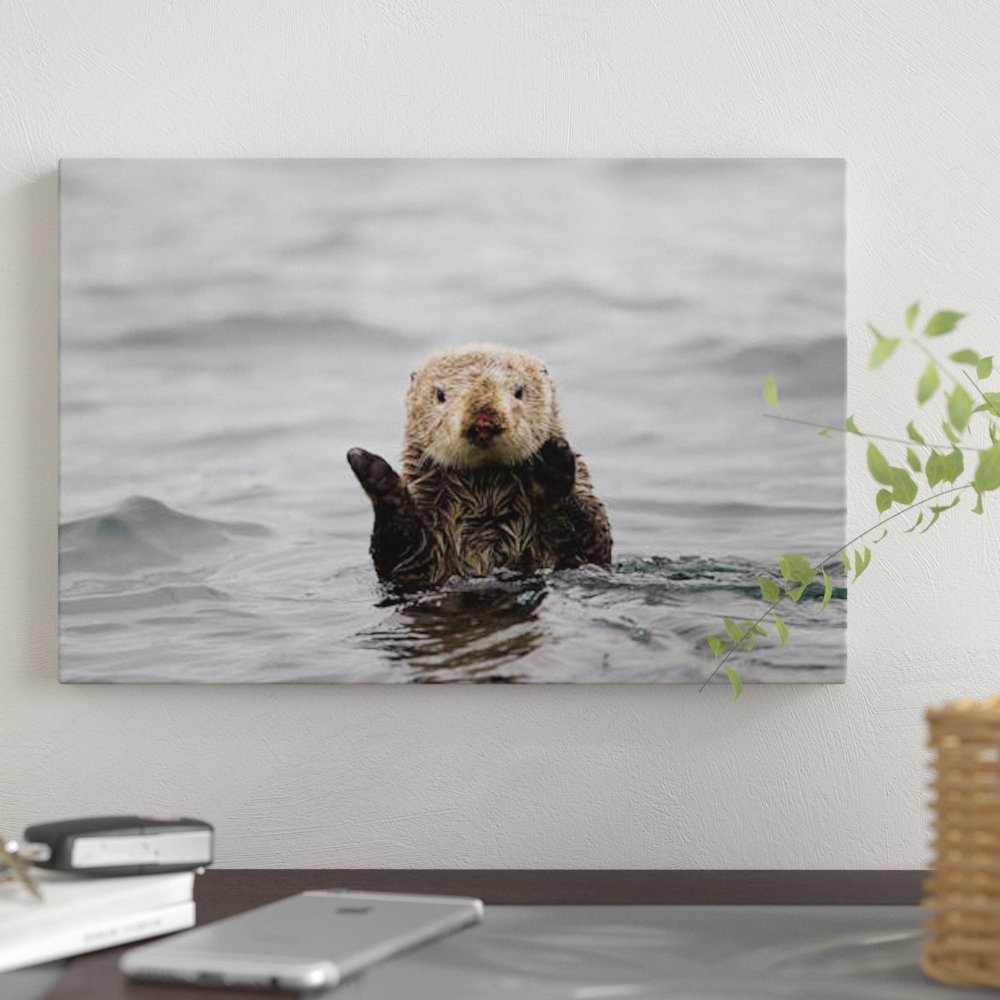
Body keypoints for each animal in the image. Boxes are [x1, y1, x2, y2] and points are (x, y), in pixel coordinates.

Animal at [348, 344, 612, 588]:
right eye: (440, 395)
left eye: (519, 392)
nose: (483, 418)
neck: (485, 496)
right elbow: (401, 557)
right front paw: (373, 472)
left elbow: (591, 540)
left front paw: (552, 463)